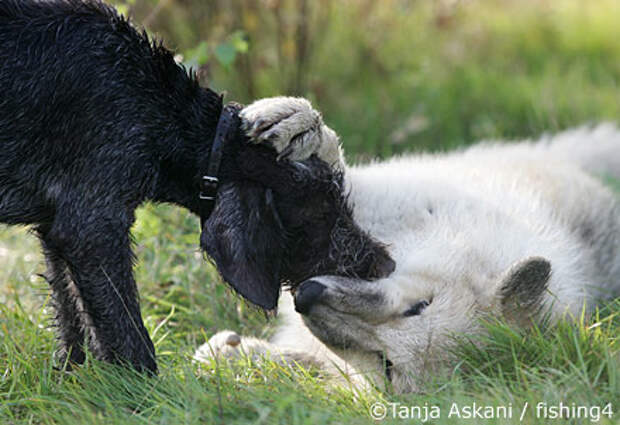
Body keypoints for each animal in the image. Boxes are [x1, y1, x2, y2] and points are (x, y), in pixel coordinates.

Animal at [0, 0, 394, 372]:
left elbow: (72, 319)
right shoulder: (92, 224)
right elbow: (130, 336)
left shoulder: (54, 229)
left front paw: (73, 378)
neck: (156, 106)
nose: (386, 263)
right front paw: (145, 392)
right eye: (323, 208)